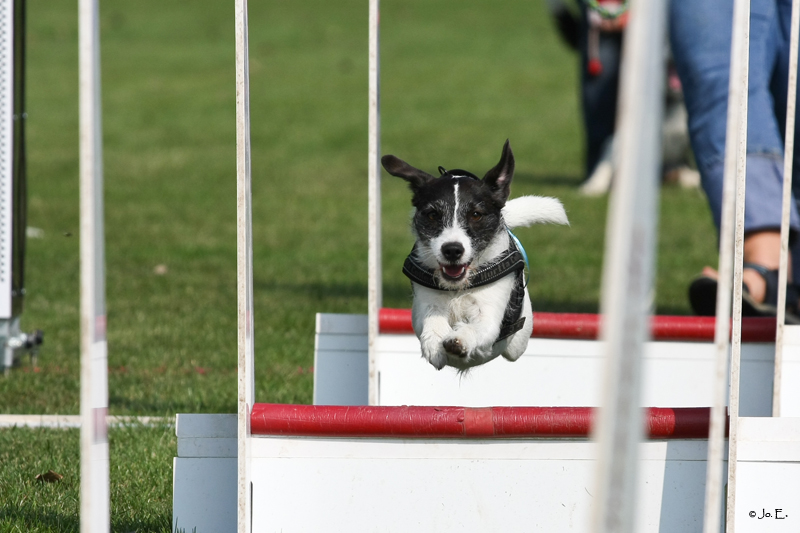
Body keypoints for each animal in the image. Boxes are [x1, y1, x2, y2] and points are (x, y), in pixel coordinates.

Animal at [382, 139, 568, 368]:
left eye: (476, 215)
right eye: (433, 215)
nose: (452, 249)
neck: (458, 288)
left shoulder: (489, 311)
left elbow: (479, 327)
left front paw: (459, 340)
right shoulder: (424, 303)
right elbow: (431, 317)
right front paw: (435, 340)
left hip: (519, 340)